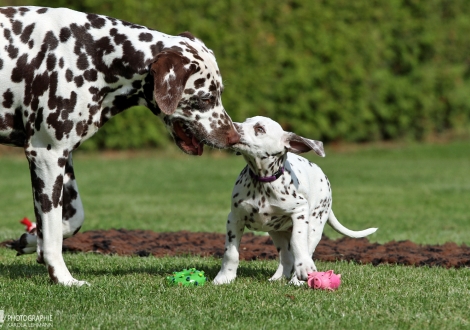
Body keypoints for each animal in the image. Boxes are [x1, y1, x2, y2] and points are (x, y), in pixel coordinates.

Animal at [0, 7, 239, 286]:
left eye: (219, 93)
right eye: (205, 98)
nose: (234, 138)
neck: (92, 53)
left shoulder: (63, 157)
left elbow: (70, 220)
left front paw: (29, 240)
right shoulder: (47, 153)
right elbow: (52, 233)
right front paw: (62, 277)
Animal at [213, 117, 378, 284]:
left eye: (260, 129)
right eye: (245, 121)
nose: (231, 126)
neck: (263, 182)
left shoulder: (300, 211)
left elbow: (298, 242)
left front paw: (304, 268)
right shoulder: (234, 219)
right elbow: (231, 252)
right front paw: (224, 277)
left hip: (314, 226)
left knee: (305, 249)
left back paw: (297, 279)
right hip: (276, 232)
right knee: (286, 257)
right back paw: (279, 277)